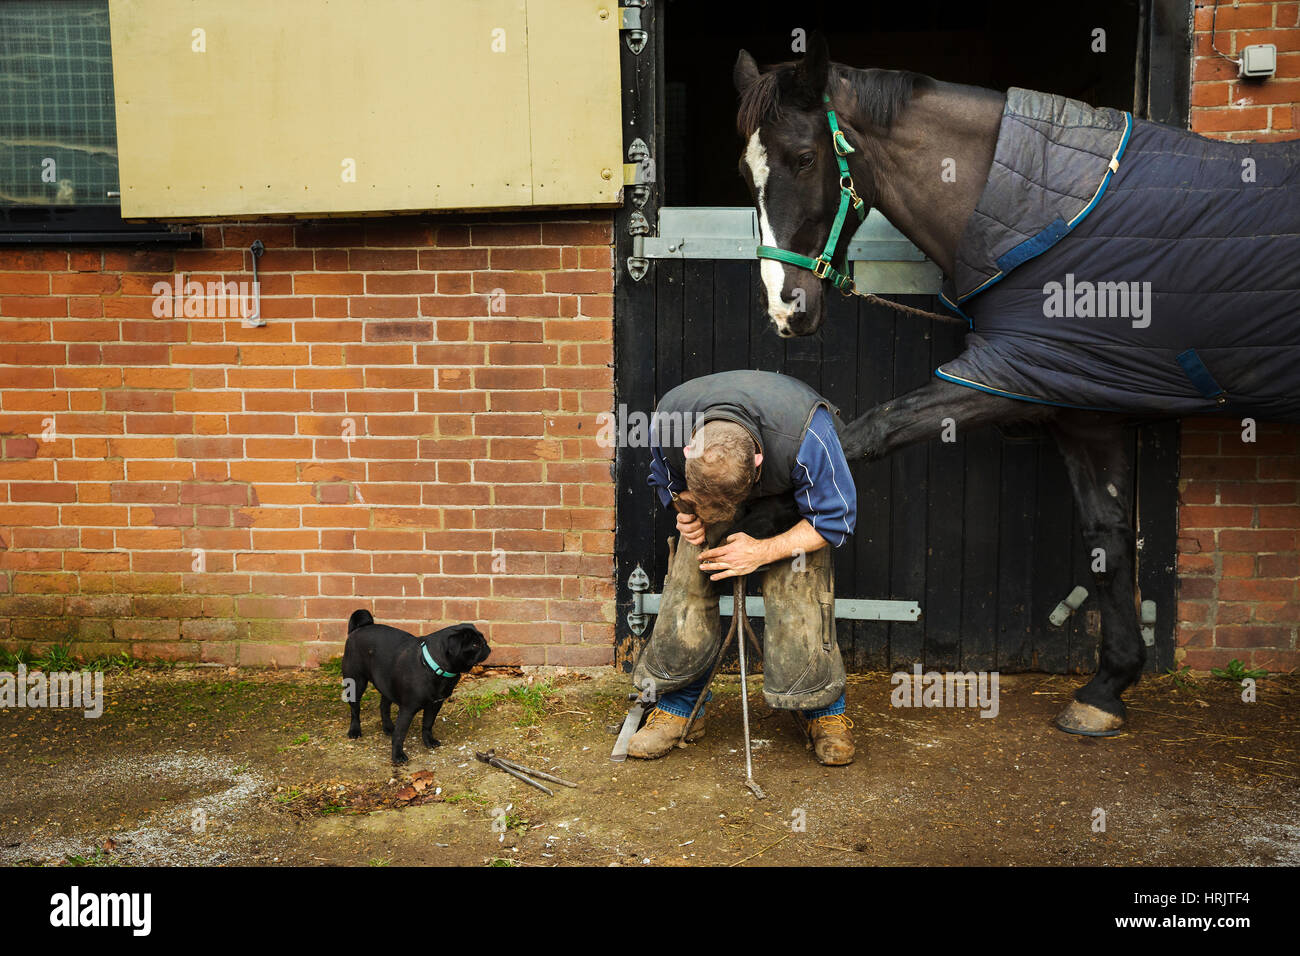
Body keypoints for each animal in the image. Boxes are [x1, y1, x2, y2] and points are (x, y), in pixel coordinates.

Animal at [733, 35, 1300, 738]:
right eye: (744, 171)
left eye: (805, 158)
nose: (784, 309)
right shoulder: (1080, 403)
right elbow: (1107, 537)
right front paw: (1108, 686)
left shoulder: (1003, 376)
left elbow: (869, 429)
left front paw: (755, 518)